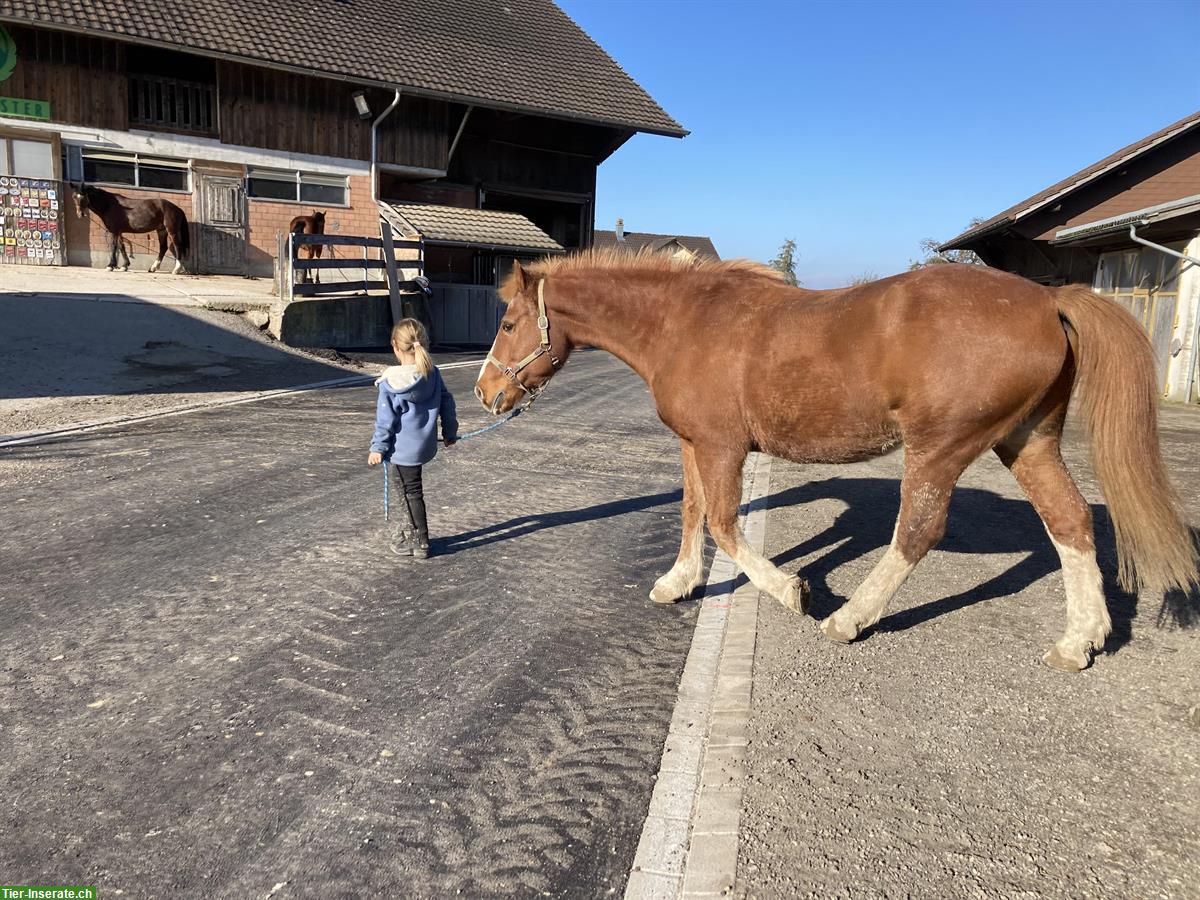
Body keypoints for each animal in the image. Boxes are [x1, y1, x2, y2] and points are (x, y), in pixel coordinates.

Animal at [477, 250, 1200, 672]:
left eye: (509, 323)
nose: (486, 394)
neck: (686, 322)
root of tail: (1047, 299)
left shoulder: (721, 447)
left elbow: (723, 525)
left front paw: (791, 590)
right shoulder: (694, 445)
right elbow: (691, 515)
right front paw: (678, 582)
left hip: (942, 447)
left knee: (918, 532)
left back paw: (848, 619)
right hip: (1027, 442)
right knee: (1071, 522)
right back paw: (1082, 640)